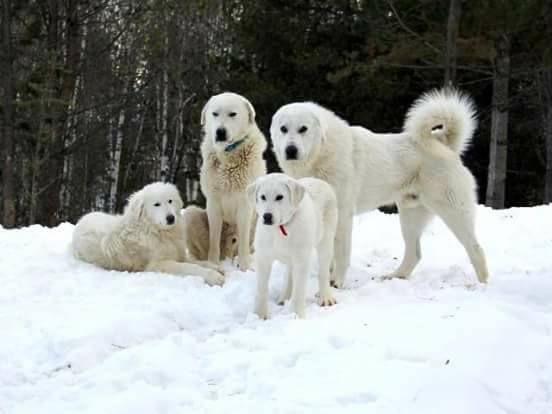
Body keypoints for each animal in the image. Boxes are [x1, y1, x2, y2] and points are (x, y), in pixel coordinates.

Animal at [71, 183, 224, 286]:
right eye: (156, 204)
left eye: (170, 201)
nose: (171, 218)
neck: (156, 231)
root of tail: (81, 220)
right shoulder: (158, 264)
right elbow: (191, 267)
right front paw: (214, 277)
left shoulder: (178, 255)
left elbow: (198, 262)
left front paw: (216, 267)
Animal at [201, 92, 268, 270]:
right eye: (215, 114)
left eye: (232, 114)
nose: (220, 132)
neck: (228, 154)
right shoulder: (213, 204)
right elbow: (214, 239)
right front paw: (213, 263)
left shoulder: (245, 205)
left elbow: (243, 240)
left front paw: (244, 267)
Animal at [249, 173, 336, 318]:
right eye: (262, 197)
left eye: (279, 197)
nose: (267, 216)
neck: (280, 228)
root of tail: (318, 180)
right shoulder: (263, 257)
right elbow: (262, 288)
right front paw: (259, 315)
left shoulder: (302, 259)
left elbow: (299, 289)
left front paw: (296, 315)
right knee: (290, 272)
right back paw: (285, 297)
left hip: (326, 240)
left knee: (323, 271)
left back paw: (325, 297)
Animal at [270, 89, 490, 286]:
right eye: (283, 129)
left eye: (303, 129)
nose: (290, 150)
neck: (321, 153)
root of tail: (444, 145)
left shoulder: (343, 214)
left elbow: (341, 252)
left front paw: (337, 282)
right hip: (410, 216)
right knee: (414, 254)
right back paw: (395, 276)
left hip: (453, 211)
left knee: (476, 248)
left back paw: (482, 284)